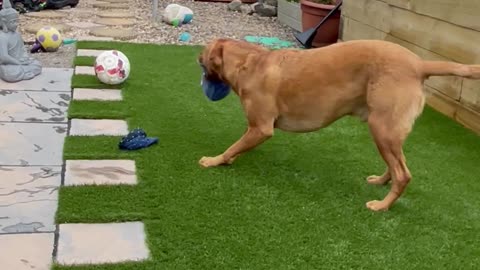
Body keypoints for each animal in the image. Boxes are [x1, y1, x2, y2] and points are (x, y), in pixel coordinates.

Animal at [196, 37, 480, 211]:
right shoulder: (254, 129)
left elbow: (233, 147)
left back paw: (382, 206)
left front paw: (215, 160)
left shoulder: (261, 128)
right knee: (398, 165)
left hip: (381, 129)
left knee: (403, 174)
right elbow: (238, 146)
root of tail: (420, 63)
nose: (198, 64)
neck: (251, 63)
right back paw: (381, 181)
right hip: (389, 132)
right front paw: (228, 159)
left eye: (202, 59)